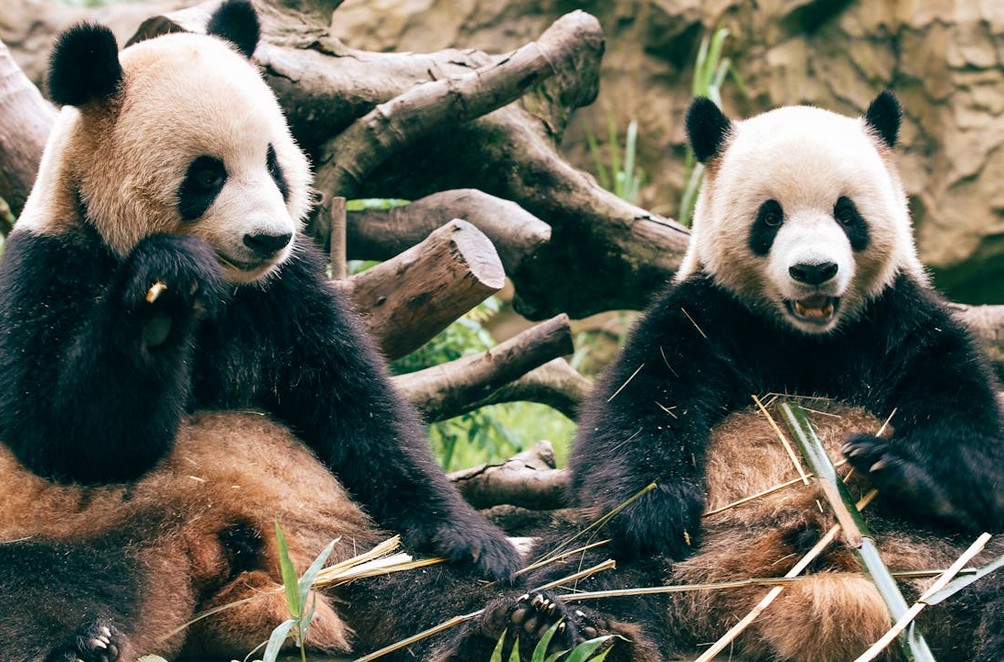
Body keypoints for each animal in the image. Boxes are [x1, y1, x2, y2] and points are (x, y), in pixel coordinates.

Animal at [0, 0, 518, 589]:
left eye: (274, 163)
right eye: (207, 175)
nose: (269, 238)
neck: (230, 290)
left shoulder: (288, 290)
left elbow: (356, 406)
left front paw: (471, 540)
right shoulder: (51, 265)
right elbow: (70, 438)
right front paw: (164, 295)